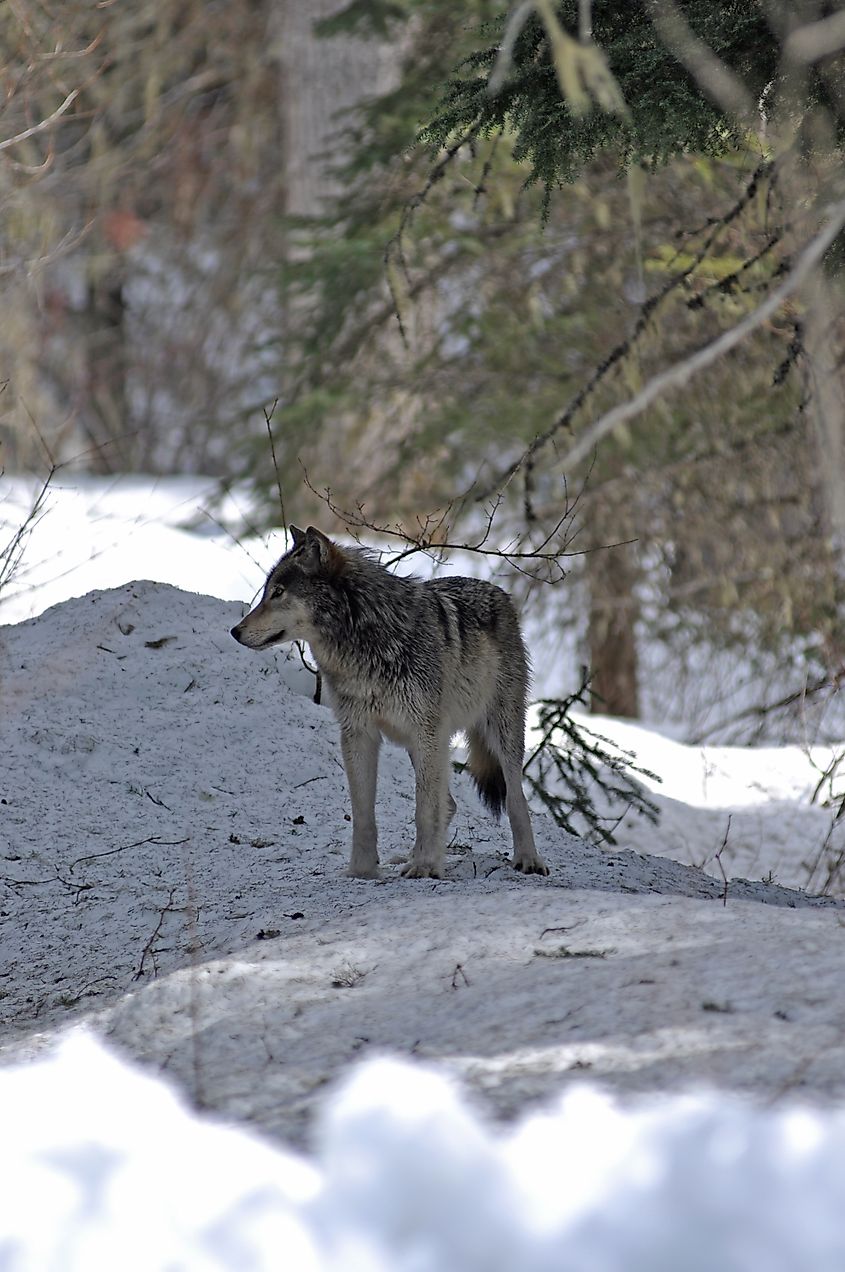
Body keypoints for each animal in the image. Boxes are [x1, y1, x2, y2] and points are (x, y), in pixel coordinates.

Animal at [231, 526, 548, 880]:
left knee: (515, 798)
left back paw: (527, 859)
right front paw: (362, 870)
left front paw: (425, 866)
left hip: (497, 731)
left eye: (278, 593)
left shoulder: (427, 732)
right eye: (267, 592)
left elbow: (424, 809)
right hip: (419, 742)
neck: (364, 646)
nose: (235, 631)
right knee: (450, 802)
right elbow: (363, 816)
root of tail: (498, 591)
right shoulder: (358, 734)